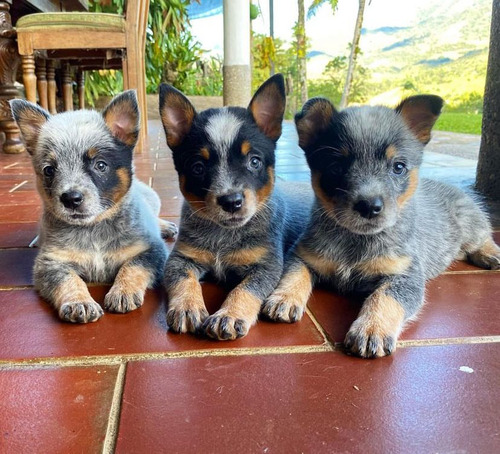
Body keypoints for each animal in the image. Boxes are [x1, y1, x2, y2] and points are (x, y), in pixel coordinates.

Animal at [10, 90, 178, 322]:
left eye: (100, 165)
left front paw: (122, 291)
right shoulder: (49, 263)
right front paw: (79, 301)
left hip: (153, 198)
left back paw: (165, 226)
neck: (93, 229)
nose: (71, 198)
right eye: (49, 170)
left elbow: (132, 266)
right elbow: (67, 279)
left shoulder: (152, 250)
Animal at [158, 72, 312, 338]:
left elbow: (244, 289)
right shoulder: (180, 258)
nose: (231, 201)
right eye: (198, 167)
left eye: (254, 161)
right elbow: (184, 280)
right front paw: (187, 306)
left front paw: (228, 315)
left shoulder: (266, 265)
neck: (223, 236)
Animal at [264, 93, 498, 358]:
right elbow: (294, 275)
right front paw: (284, 297)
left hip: (470, 222)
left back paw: (490, 254)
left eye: (398, 166)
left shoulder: (405, 275)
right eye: (336, 167)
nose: (369, 206)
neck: (355, 242)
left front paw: (371, 329)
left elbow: (384, 297)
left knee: (484, 235)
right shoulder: (303, 255)